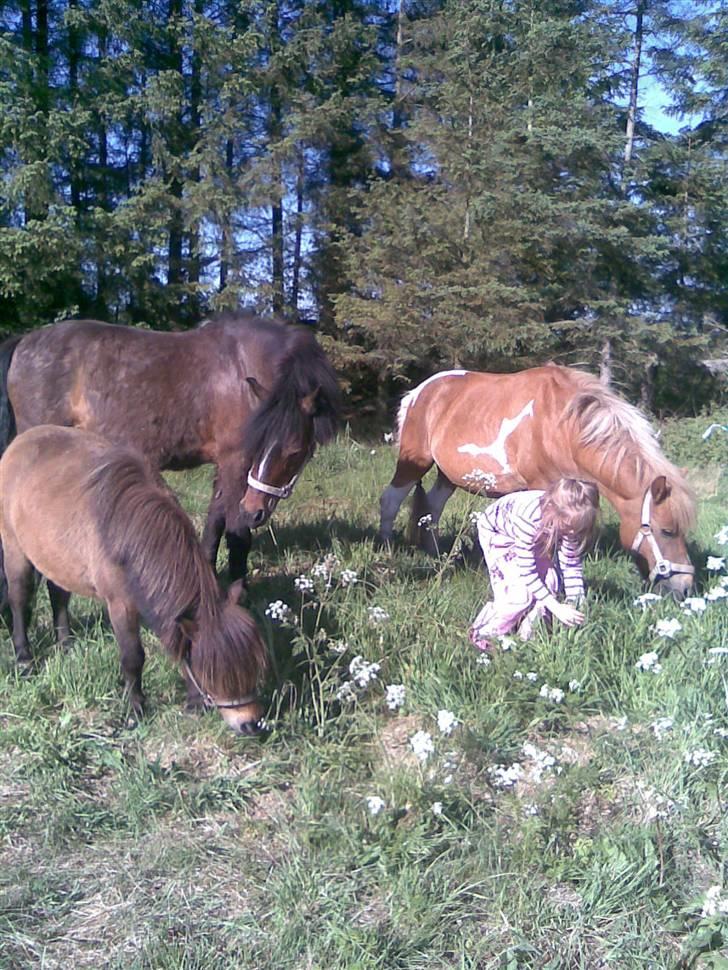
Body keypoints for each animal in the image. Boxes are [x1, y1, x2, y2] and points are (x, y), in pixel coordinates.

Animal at [0, 314, 342, 580]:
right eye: (261, 443)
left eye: (295, 451)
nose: (255, 512)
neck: (241, 365)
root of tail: (23, 342)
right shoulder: (236, 461)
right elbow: (237, 535)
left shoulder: (224, 465)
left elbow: (214, 524)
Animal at [0, 428, 268, 728]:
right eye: (212, 675)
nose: (251, 724)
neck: (129, 536)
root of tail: (21, 440)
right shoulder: (120, 606)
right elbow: (133, 657)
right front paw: (136, 707)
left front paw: (192, 701)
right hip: (14, 548)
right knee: (19, 599)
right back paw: (24, 658)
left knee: (58, 594)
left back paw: (65, 643)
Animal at [378, 362, 696, 592]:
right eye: (667, 530)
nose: (685, 588)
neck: (564, 426)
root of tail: (418, 392)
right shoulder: (541, 489)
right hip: (415, 461)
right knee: (391, 500)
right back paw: (386, 551)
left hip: (449, 475)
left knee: (433, 507)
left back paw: (437, 556)